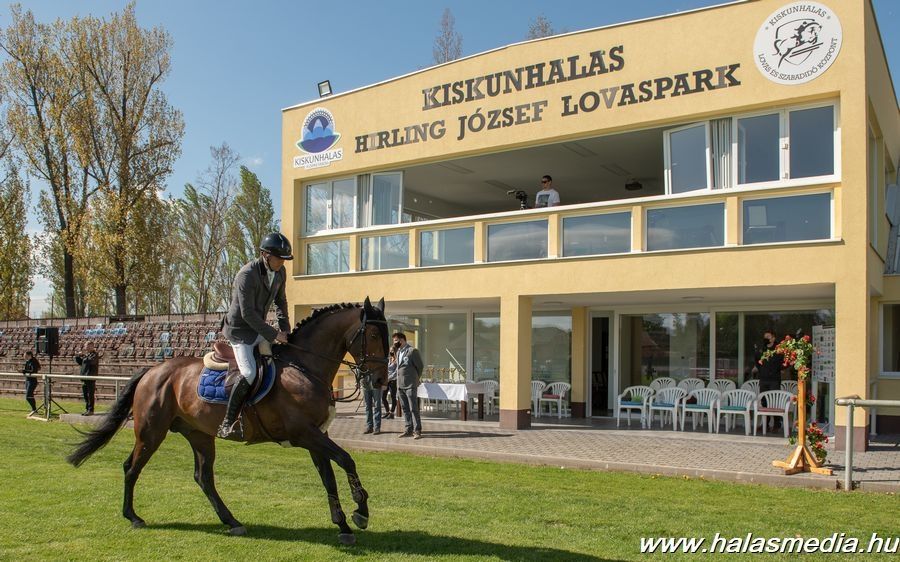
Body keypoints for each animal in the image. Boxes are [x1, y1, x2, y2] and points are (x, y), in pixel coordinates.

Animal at [66, 297, 390, 545]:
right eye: (374, 336)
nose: (380, 381)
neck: (304, 368)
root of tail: (152, 371)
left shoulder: (317, 436)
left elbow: (329, 477)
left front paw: (344, 525)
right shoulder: (305, 434)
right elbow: (346, 460)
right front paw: (361, 511)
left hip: (199, 435)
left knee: (203, 478)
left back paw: (231, 521)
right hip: (150, 432)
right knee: (131, 467)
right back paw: (133, 517)